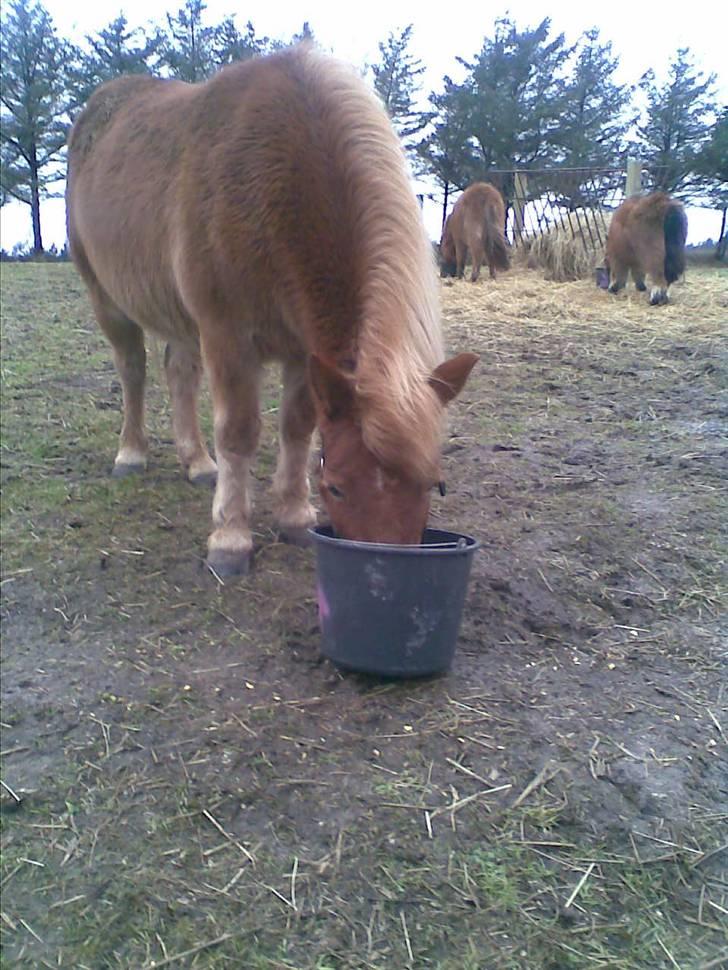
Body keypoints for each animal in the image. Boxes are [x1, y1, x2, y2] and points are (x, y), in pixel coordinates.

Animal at [67, 47, 478, 576]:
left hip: (182, 318)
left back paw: (197, 462)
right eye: (336, 487)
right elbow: (238, 432)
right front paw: (230, 538)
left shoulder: (304, 350)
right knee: (132, 369)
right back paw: (132, 454)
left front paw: (294, 516)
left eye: (433, 484)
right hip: (108, 299)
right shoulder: (228, 338)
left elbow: (297, 427)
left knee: (178, 374)